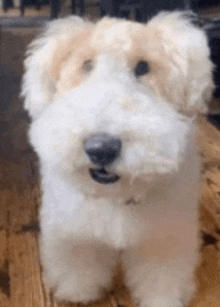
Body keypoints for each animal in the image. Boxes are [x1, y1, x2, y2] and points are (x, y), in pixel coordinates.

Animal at [20, 10, 213, 307]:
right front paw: (78, 291)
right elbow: (79, 262)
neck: (115, 194)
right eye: (86, 65)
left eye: (143, 67)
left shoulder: (162, 238)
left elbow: (161, 275)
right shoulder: (75, 231)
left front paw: (162, 298)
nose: (101, 148)